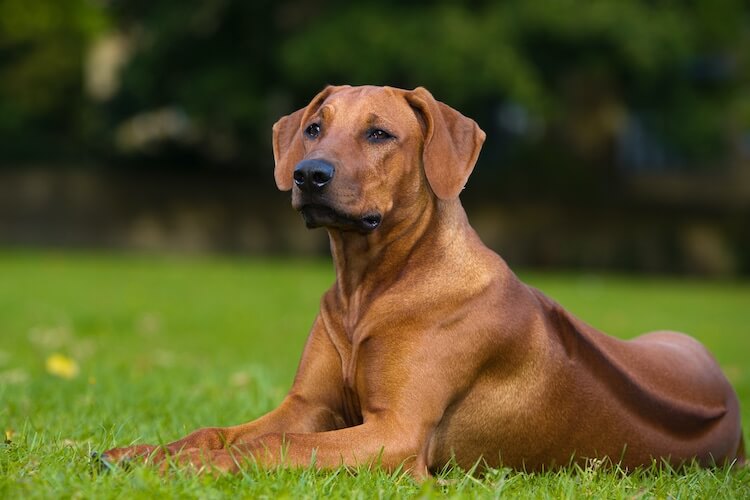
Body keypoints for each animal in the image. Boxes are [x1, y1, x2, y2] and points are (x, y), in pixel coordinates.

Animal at [101, 85, 748, 476]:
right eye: (313, 128)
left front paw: (177, 467)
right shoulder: (308, 404)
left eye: (379, 134)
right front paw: (144, 450)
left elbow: (275, 444)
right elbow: (219, 430)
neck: (368, 288)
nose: (309, 174)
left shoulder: (397, 433)